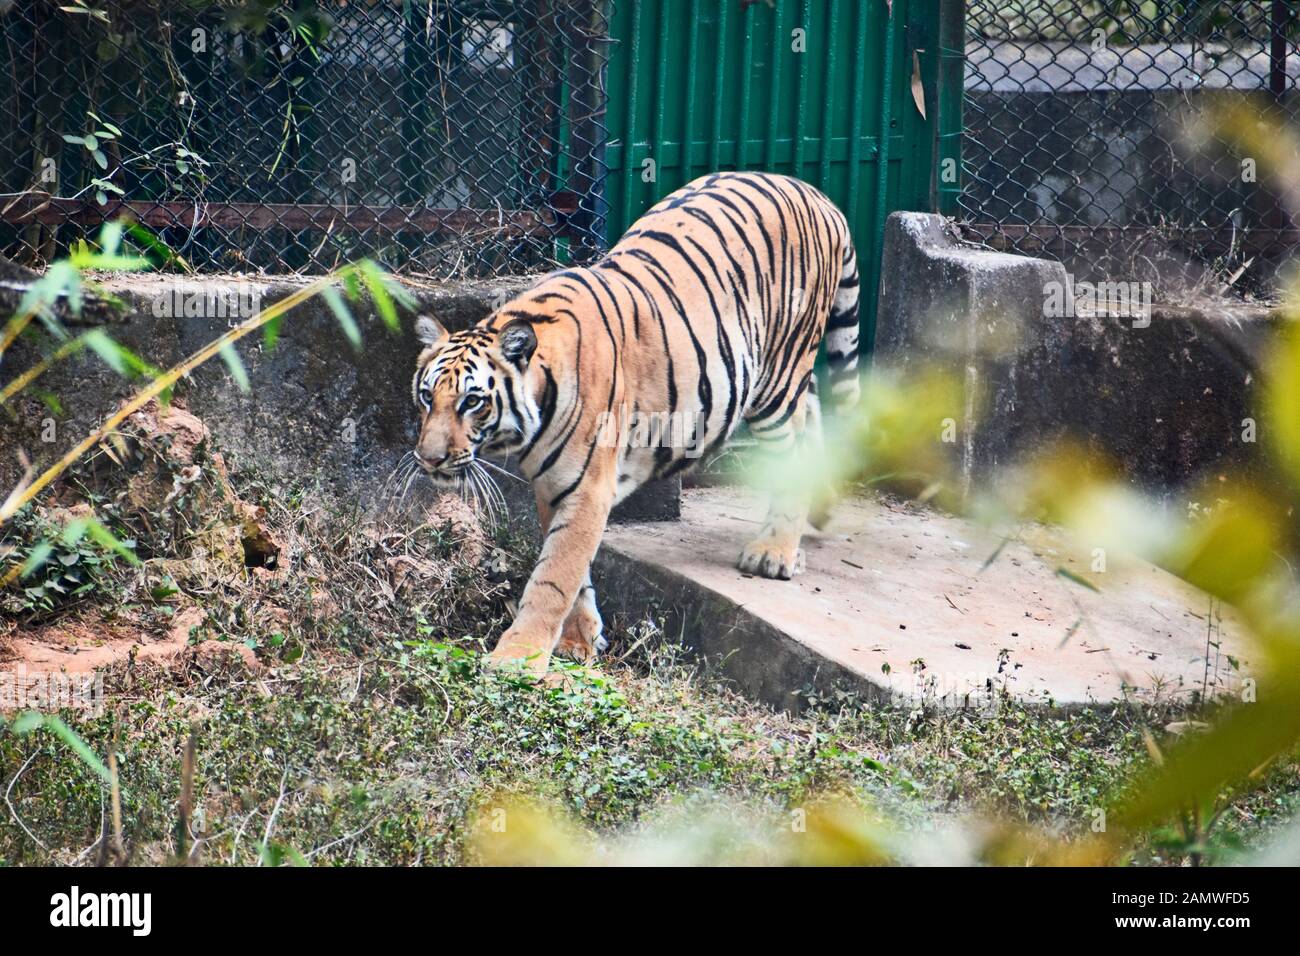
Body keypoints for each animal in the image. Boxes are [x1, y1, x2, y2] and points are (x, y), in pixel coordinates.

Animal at [405, 174, 857, 681]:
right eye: (427, 396)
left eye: (472, 401)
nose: (429, 459)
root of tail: (818, 195)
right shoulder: (554, 487)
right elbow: (573, 573)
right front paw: (578, 641)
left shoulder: (586, 488)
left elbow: (553, 577)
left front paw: (516, 658)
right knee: (812, 418)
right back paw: (809, 525)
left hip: (778, 376)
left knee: (793, 441)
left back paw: (774, 552)